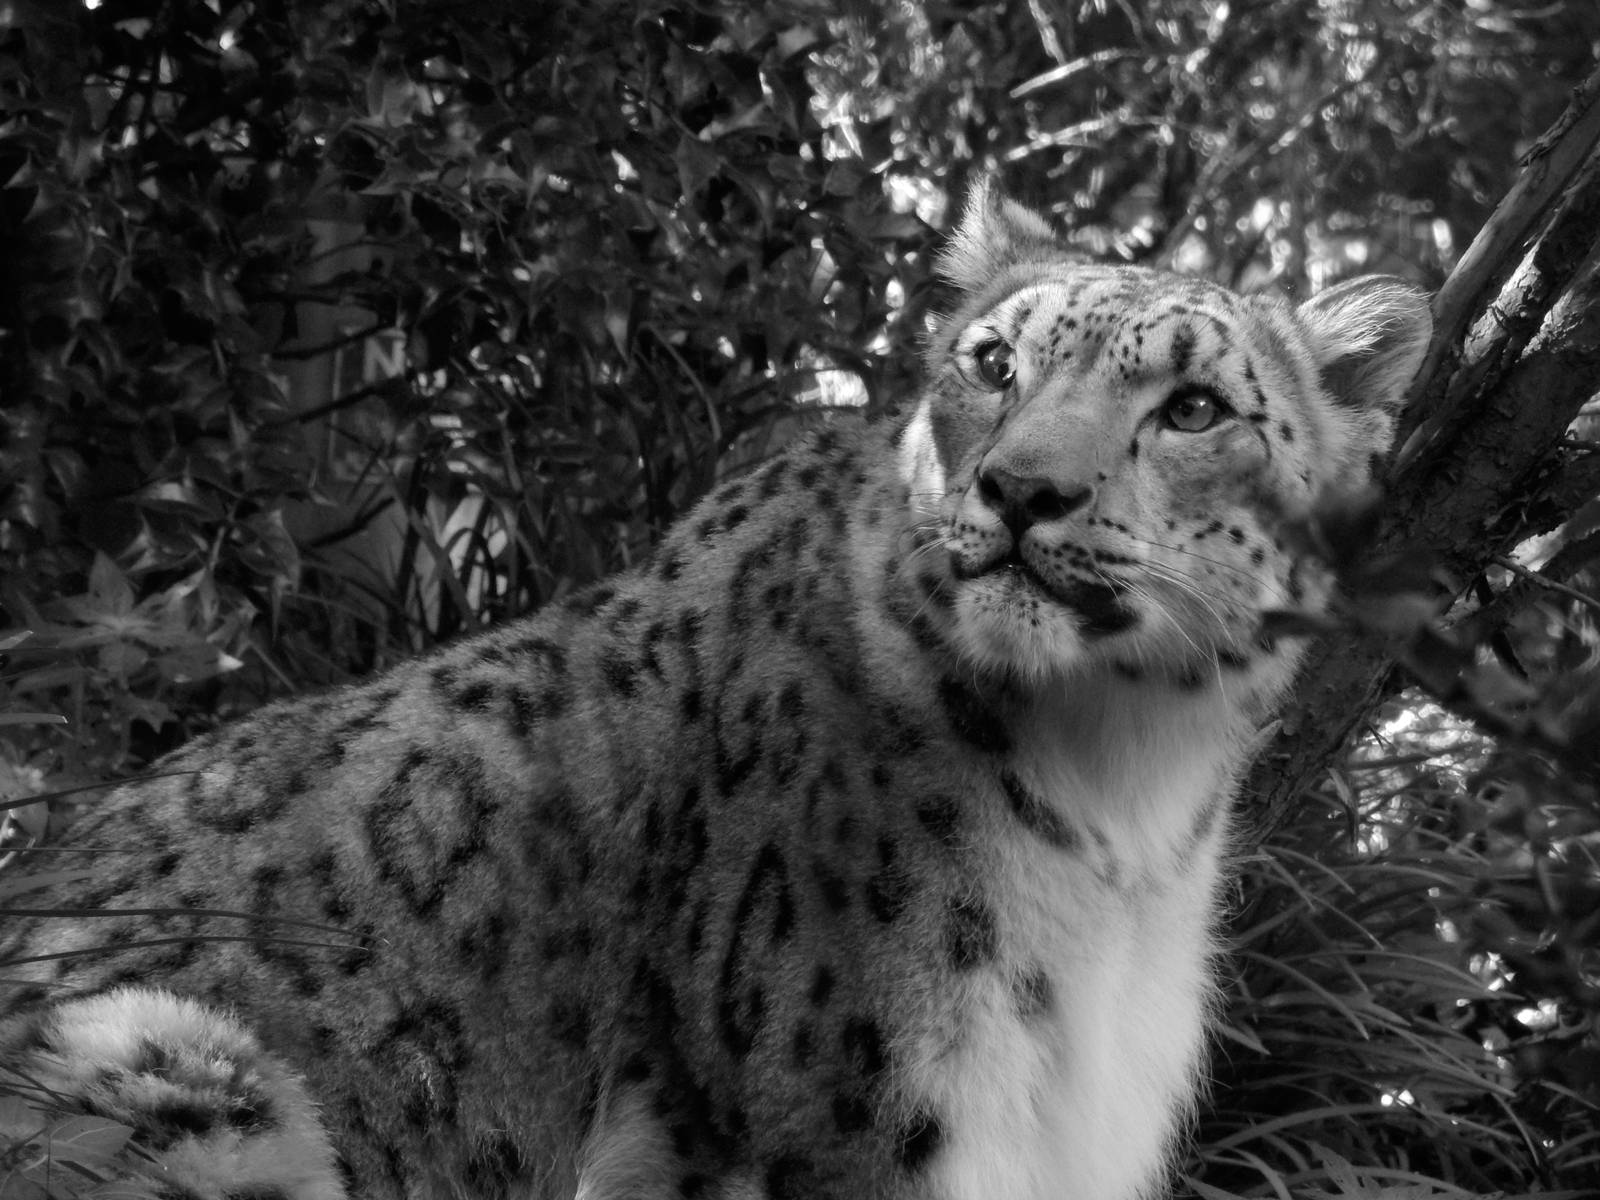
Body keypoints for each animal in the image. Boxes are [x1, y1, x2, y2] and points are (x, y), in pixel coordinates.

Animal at [0, 182, 1431, 1200]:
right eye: (992, 363)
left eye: (1193, 408)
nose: (1022, 490)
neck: (1122, 793)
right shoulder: (839, 1117)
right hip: (168, 1059)